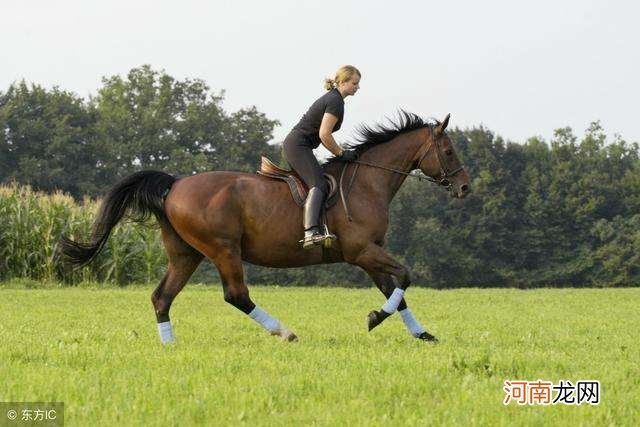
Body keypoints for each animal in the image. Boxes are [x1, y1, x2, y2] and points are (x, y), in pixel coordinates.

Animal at [60, 111, 470, 344]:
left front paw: (421, 334)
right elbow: (405, 277)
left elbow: (396, 289)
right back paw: (285, 332)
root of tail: (174, 185)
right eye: (449, 151)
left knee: (162, 297)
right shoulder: (362, 251)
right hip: (223, 249)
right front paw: (375, 318)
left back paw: (169, 346)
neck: (368, 182)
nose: (465, 187)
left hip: (185, 253)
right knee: (236, 295)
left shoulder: (368, 254)